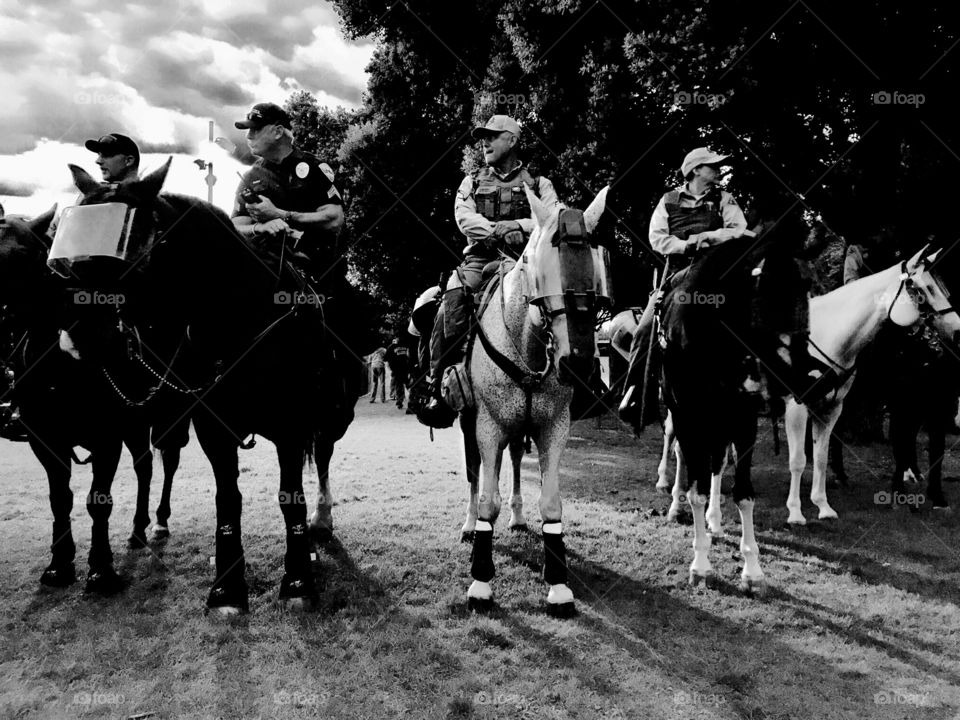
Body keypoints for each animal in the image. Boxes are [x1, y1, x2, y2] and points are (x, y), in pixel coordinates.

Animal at [0, 208, 178, 592]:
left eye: (22, 254)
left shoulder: (106, 439)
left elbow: (98, 501)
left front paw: (101, 569)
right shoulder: (44, 440)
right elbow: (60, 499)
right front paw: (59, 563)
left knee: (164, 464)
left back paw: (157, 521)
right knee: (144, 466)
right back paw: (139, 528)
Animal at [462, 184, 612, 612]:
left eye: (595, 267)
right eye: (538, 268)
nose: (577, 363)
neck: (527, 349)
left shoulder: (553, 427)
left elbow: (551, 503)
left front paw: (559, 584)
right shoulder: (488, 425)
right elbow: (487, 499)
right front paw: (481, 581)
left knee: (514, 459)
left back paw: (517, 518)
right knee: (474, 471)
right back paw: (468, 524)